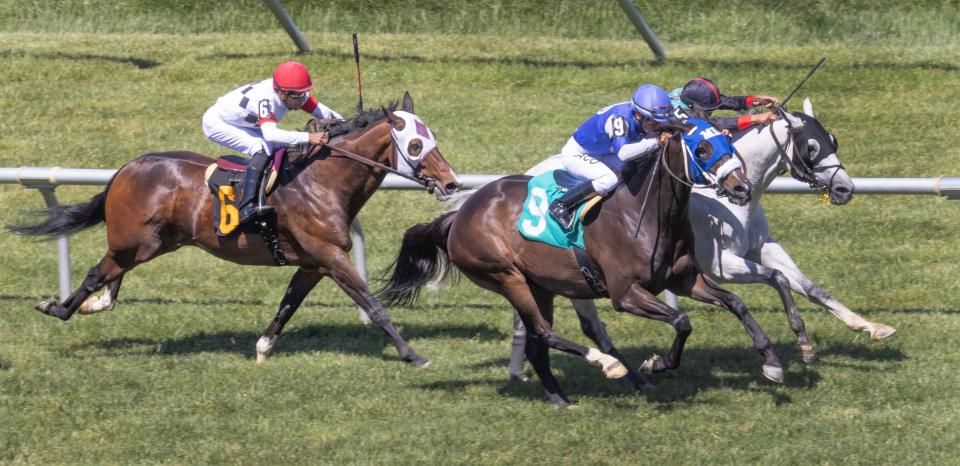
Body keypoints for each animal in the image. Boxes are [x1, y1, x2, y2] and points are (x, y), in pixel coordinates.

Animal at [10, 92, 462, 368]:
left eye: (434, 140)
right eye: (416, 146)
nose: (452, 182)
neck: (322, 181)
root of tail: (128, 167)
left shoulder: (313, 263)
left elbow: (288, 304)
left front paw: (262, 348)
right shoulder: (332, 257)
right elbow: (374, 305)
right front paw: (412, 354)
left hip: (148, 243)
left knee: (111, 276)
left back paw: (92, 304)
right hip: (134, 241)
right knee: (96, 273)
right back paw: (59, 307)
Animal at [376, 122, 780, 406]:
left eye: (729, 143)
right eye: (702, 147)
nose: (741, 189)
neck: (646, 213)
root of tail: (458, 216)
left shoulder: (684, 279)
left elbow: (735, 303)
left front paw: (771, 361)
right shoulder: (625, 294)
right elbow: (681, 321)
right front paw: (654, 364)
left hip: (539, 285)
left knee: (538, 344)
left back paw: (560, 399)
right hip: (506, 276)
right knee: (543, 333)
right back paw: (607, 364)